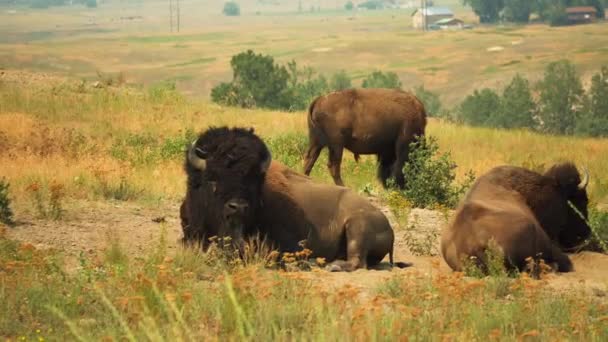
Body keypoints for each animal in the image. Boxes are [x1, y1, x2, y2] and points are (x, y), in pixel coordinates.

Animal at [180, 127, 408, 272]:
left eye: (253, 181)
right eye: (212, 178)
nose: (238, 207)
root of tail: (388, 226)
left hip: (357, 226)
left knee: (357, 261)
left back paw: (327, 264)